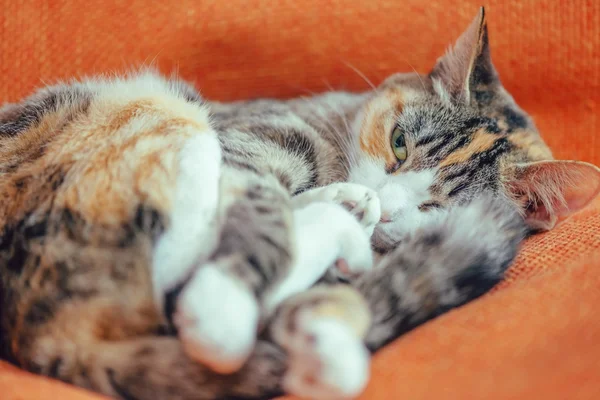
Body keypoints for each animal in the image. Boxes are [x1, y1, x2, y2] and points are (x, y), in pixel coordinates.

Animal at [3, 5, 600, 400]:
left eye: (437, 208)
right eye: (399, 143)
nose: (386, 204)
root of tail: (44, 337)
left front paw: (325, 339)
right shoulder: (247, 142)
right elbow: (260, 207)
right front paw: (223, 306)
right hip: (154, 114)